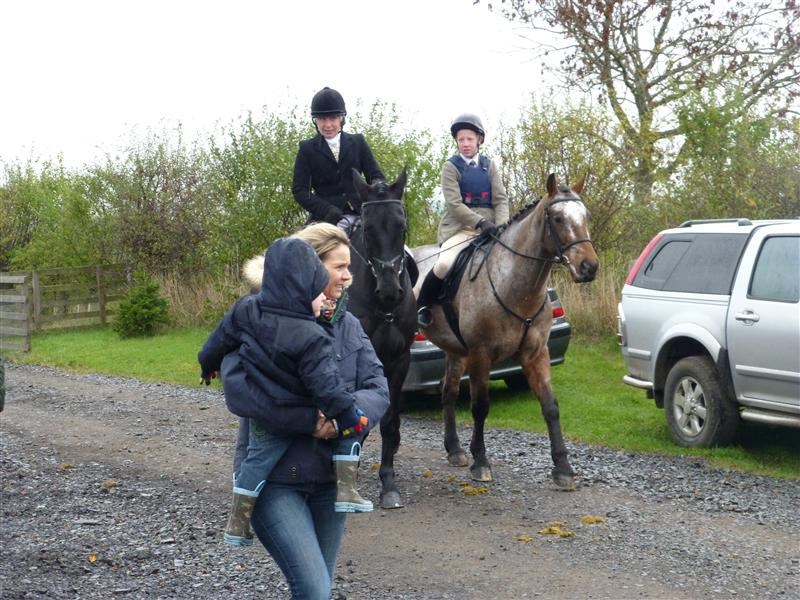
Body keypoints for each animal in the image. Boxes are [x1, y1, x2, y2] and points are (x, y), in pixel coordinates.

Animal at [412, 173, 599, 490]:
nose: (589, 267)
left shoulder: (536, 354)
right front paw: (481, 462)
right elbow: (480, 406)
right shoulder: (481, 354)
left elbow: (550, 406)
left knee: (448, 391)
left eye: (585, 216)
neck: (516, 287)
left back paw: (454, 449)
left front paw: (563, 468)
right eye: (558, 218)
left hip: (454, 349)